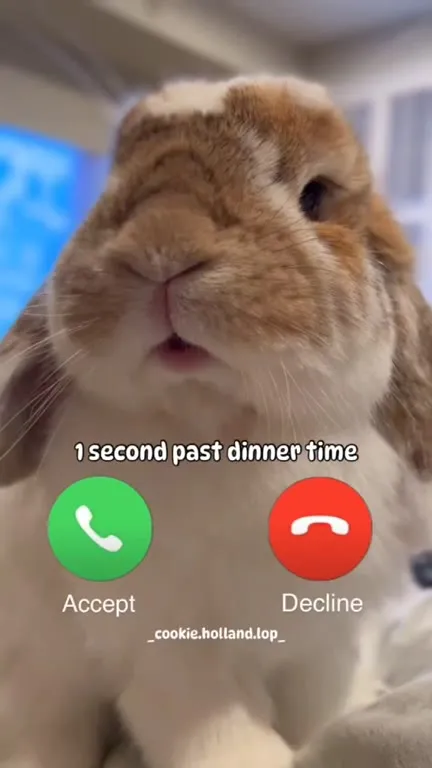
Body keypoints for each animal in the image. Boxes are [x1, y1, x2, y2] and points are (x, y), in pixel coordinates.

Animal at [0, 74, 432, 768]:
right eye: (113, 189)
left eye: (315, 196)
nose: (162, 247)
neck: (224, 431)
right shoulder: (173, 650)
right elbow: (219, 731)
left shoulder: (326, 641)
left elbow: (323, 703)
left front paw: (343, 720)